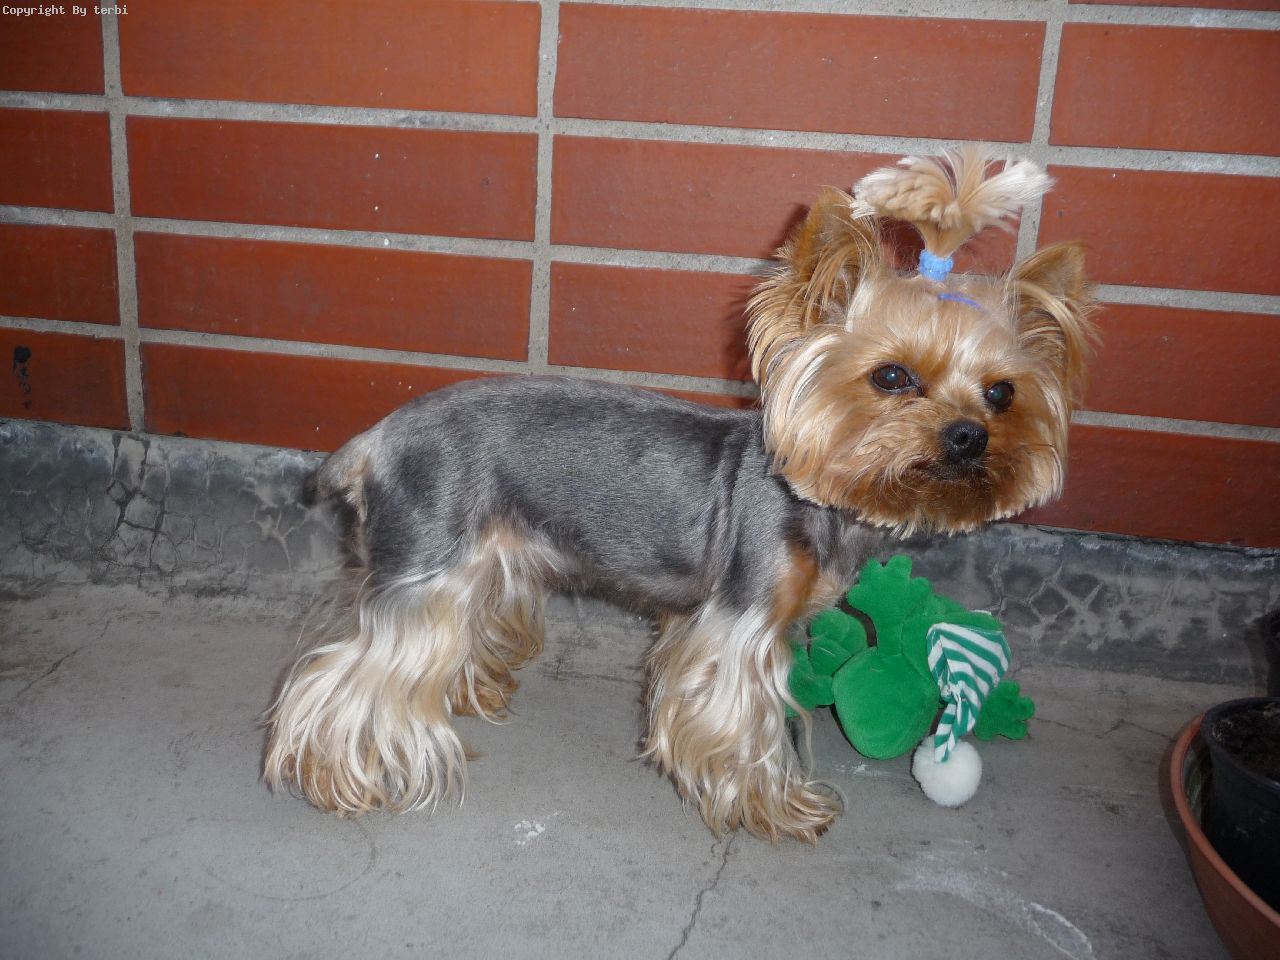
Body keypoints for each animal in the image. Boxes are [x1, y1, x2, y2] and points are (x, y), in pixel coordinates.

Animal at [263, 146, 1094, 842]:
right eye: (891, 376)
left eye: (1002, 393)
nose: (967, 437)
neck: (822, 496)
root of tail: (375, 440)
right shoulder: (741, 627)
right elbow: (747, 726)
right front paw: (781, 808)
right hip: (427, 567)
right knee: (344, 676)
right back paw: (334, 779)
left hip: (477, 562)